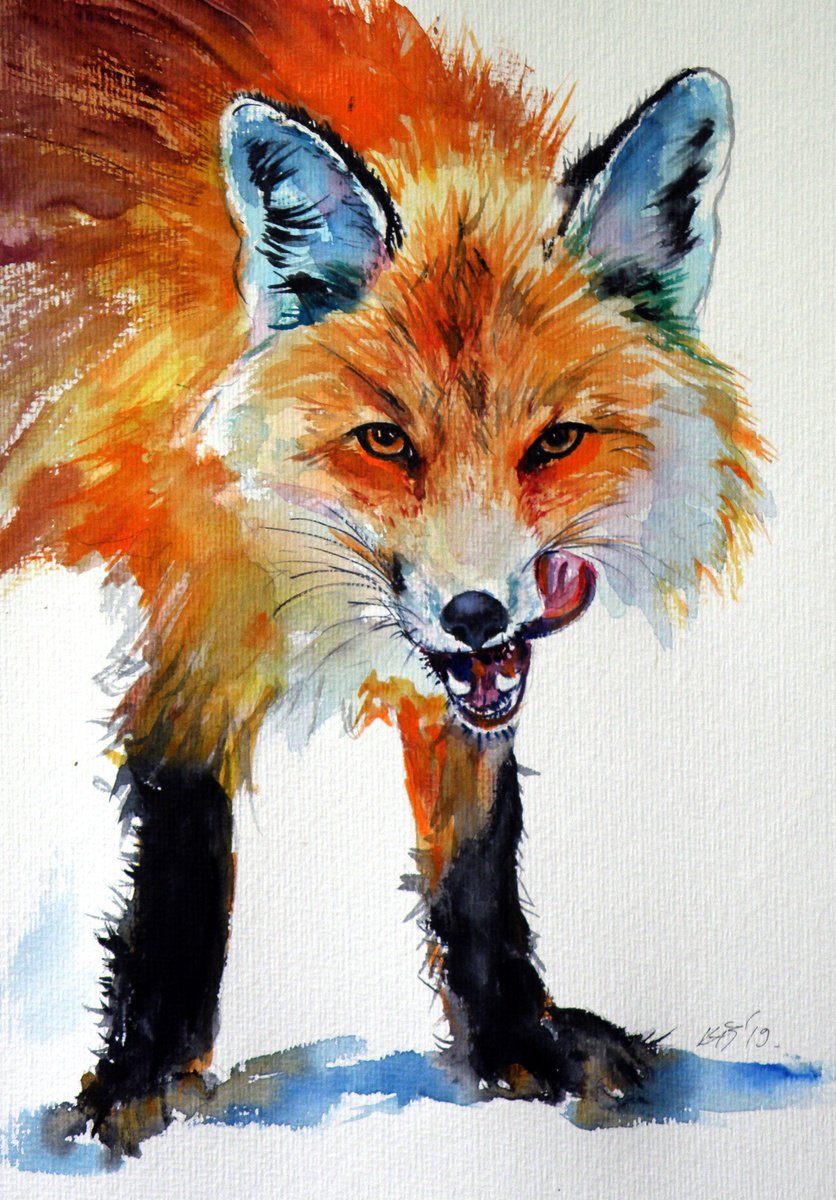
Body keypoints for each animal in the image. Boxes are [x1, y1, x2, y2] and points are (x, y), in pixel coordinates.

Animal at [0, 0, 769, 1154]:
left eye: (555, 444)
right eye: (385, 442)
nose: (475, 611)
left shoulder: (458, 684)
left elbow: (476, 860)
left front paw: (514, 1043)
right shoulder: (195, 603)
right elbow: (180, 864)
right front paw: (139, 1078)